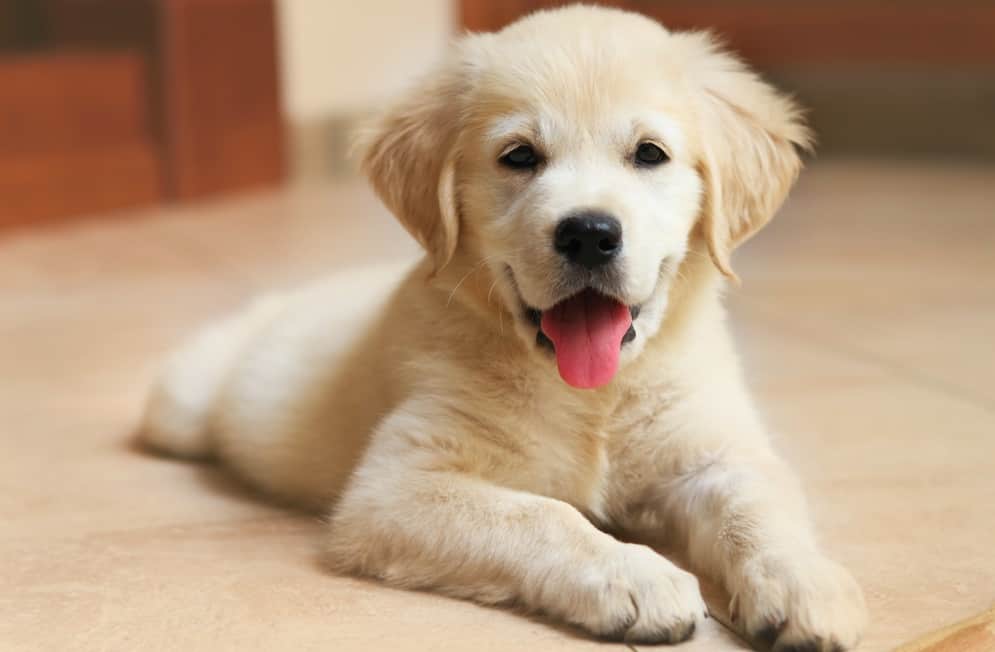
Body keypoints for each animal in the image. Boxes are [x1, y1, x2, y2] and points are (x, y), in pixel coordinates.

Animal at [138, 6, 864, 652]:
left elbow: (758, 507)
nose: (589, 233)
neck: (593, 395)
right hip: (182, 405)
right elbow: (543, 514)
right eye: (519, 156)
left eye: (649, 154)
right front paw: (634, 575)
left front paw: (806, 584)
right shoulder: (394, 487)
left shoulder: (716, 451)